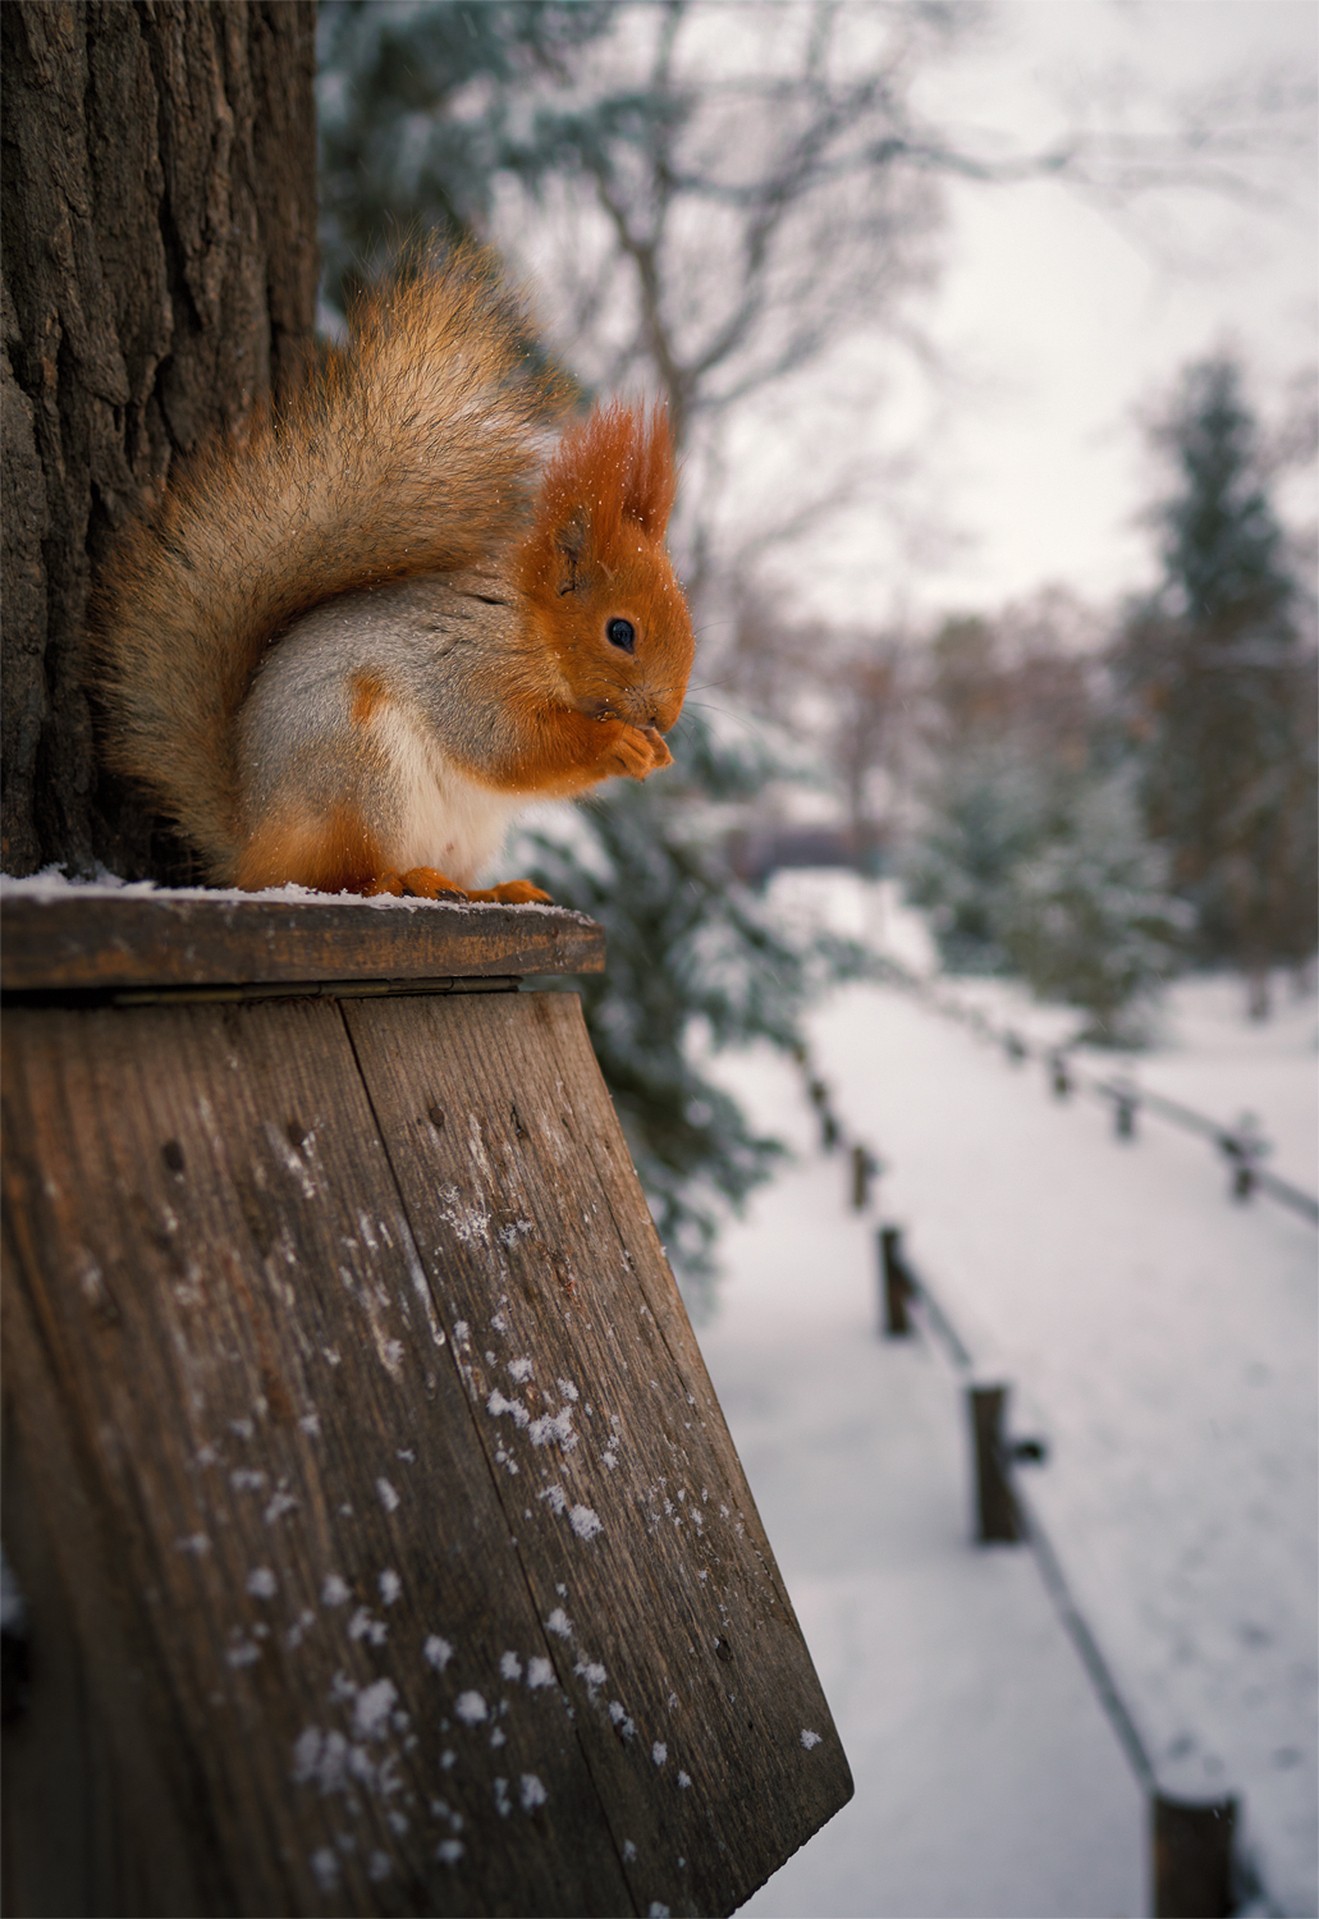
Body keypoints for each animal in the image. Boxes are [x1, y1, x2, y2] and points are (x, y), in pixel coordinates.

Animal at [94, 251, 695, 901]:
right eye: (620, 632)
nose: (666, 718)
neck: (533, 628)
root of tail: (252, 842)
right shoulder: (467, 669)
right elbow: (505, 745)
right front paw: (618, 742)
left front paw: (657, 752)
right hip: (362, 778)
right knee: (337, 875)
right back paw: (400, 880)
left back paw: (491, 890)